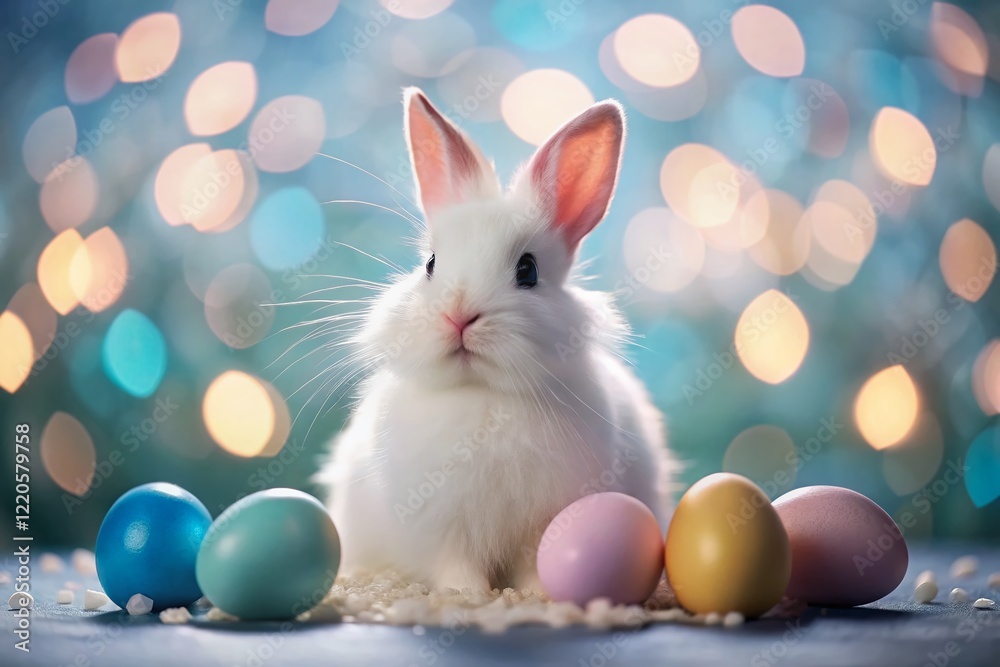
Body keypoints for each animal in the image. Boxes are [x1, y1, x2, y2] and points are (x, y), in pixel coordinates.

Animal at [315, 87, 674, 594]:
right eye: (430, 263)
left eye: (528, 270)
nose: (459, 315)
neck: (482, 395)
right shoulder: (443, 524)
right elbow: (455, 563)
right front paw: (466, 595)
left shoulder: (544, 520)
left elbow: (534, 562)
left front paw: (535, 595)